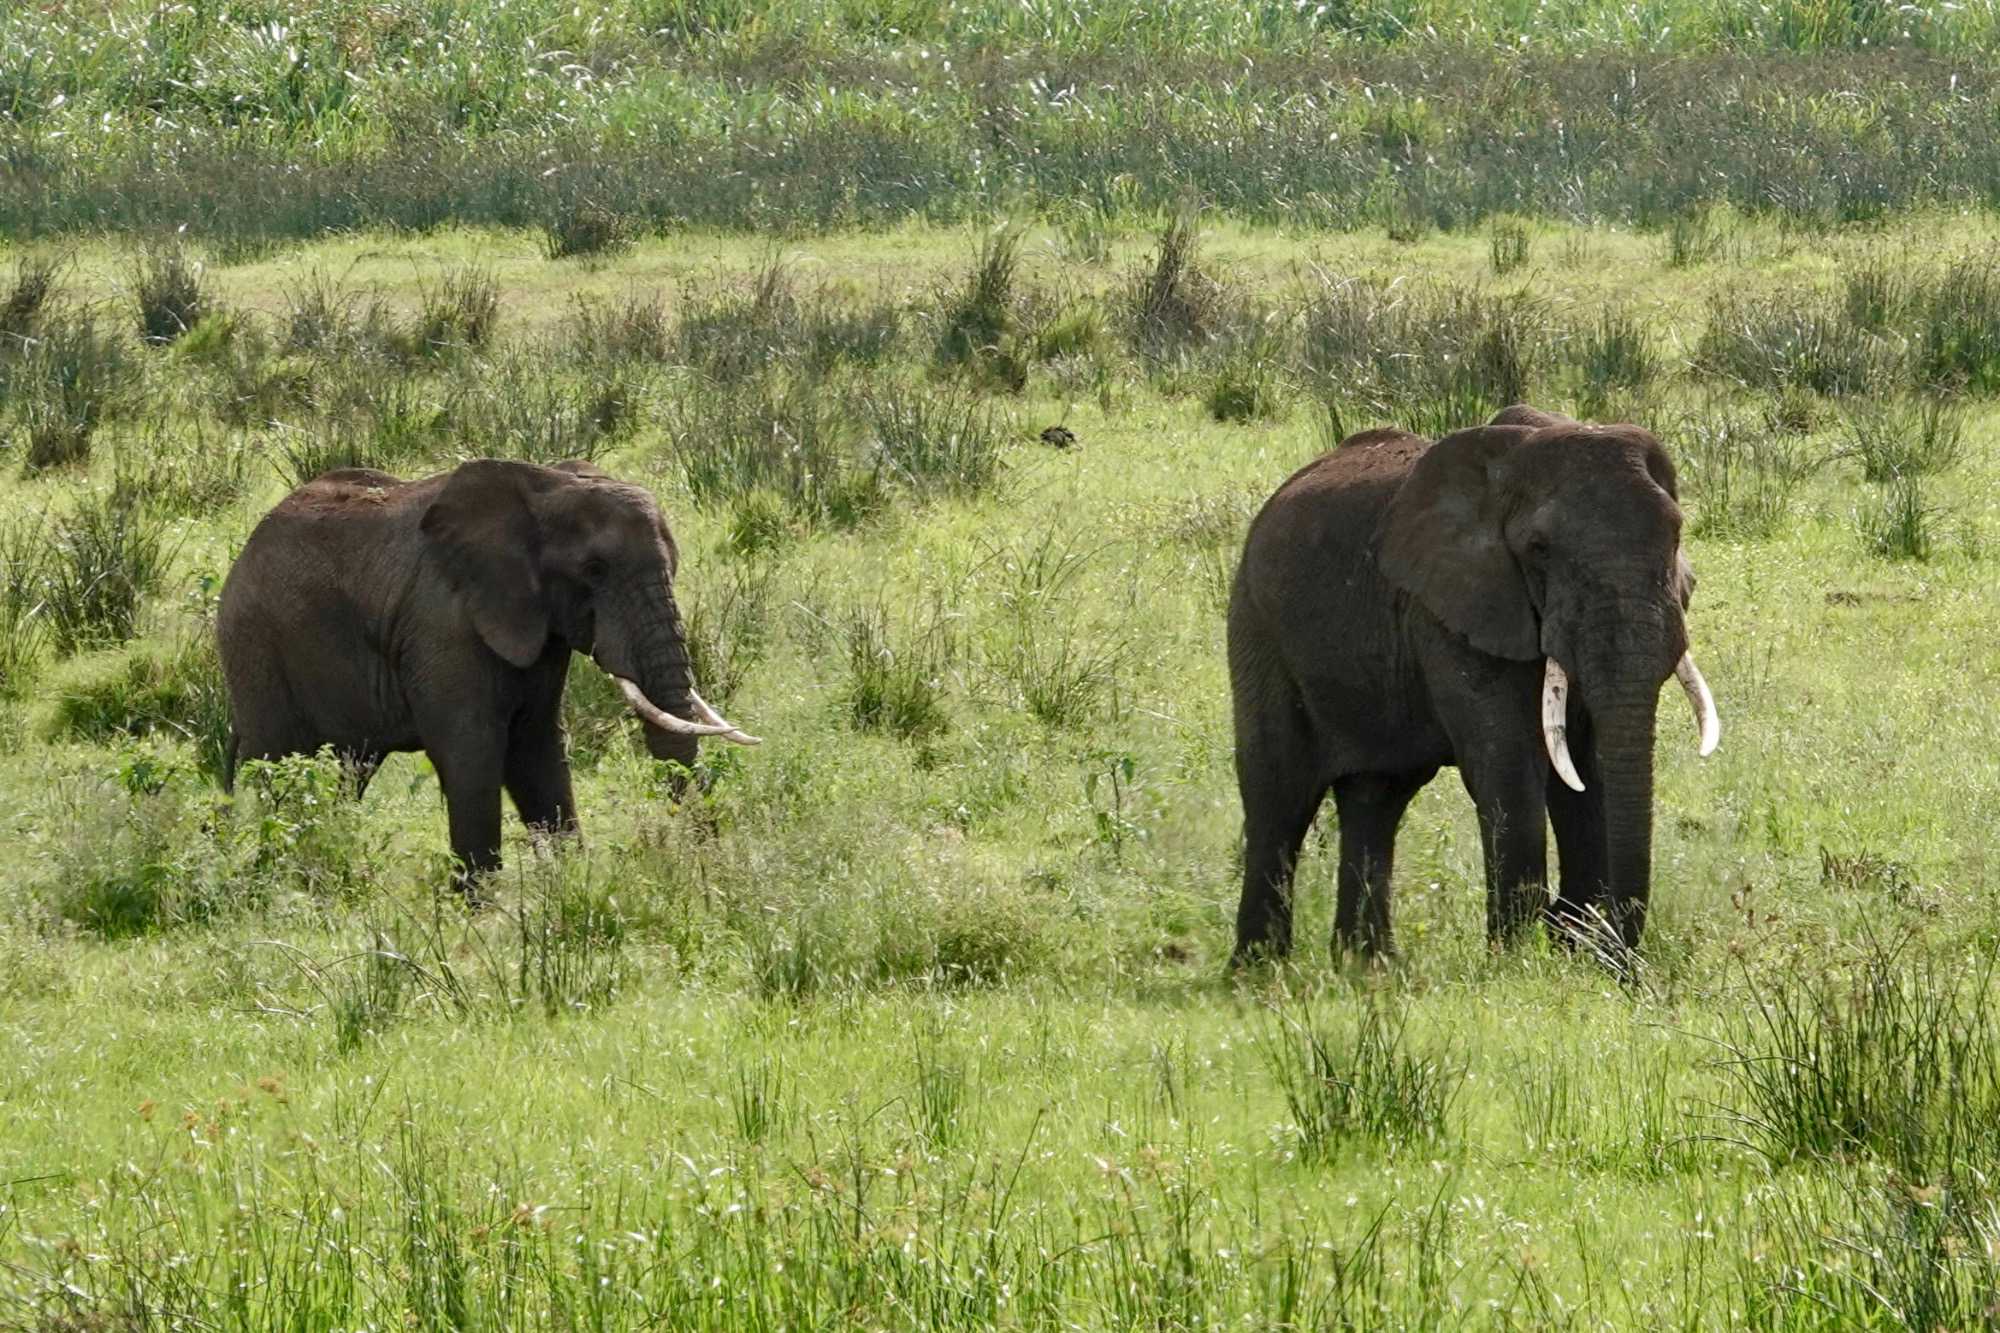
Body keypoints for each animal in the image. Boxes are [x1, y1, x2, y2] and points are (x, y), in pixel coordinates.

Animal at [216, 459, 759, 887]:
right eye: (594, 571)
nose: (704, 862)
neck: (545, 486)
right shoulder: (443, 621)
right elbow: (471, 750)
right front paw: (481, 912)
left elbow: (537, 746)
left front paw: (571, 881)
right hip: (255, 647)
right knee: (279, 764)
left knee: (348, 771)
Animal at [1227, 405, 1718, 965]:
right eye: (1538, 549)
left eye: (1676, 535)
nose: (1620, 964)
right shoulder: (1450, 609)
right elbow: (1509, 767)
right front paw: (1521, 958)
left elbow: (1585, 771)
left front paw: (1567, 947)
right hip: (1257, 625)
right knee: (1278, 795)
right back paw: (1259, 970)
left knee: (1376, 798)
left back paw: (1367, 967)